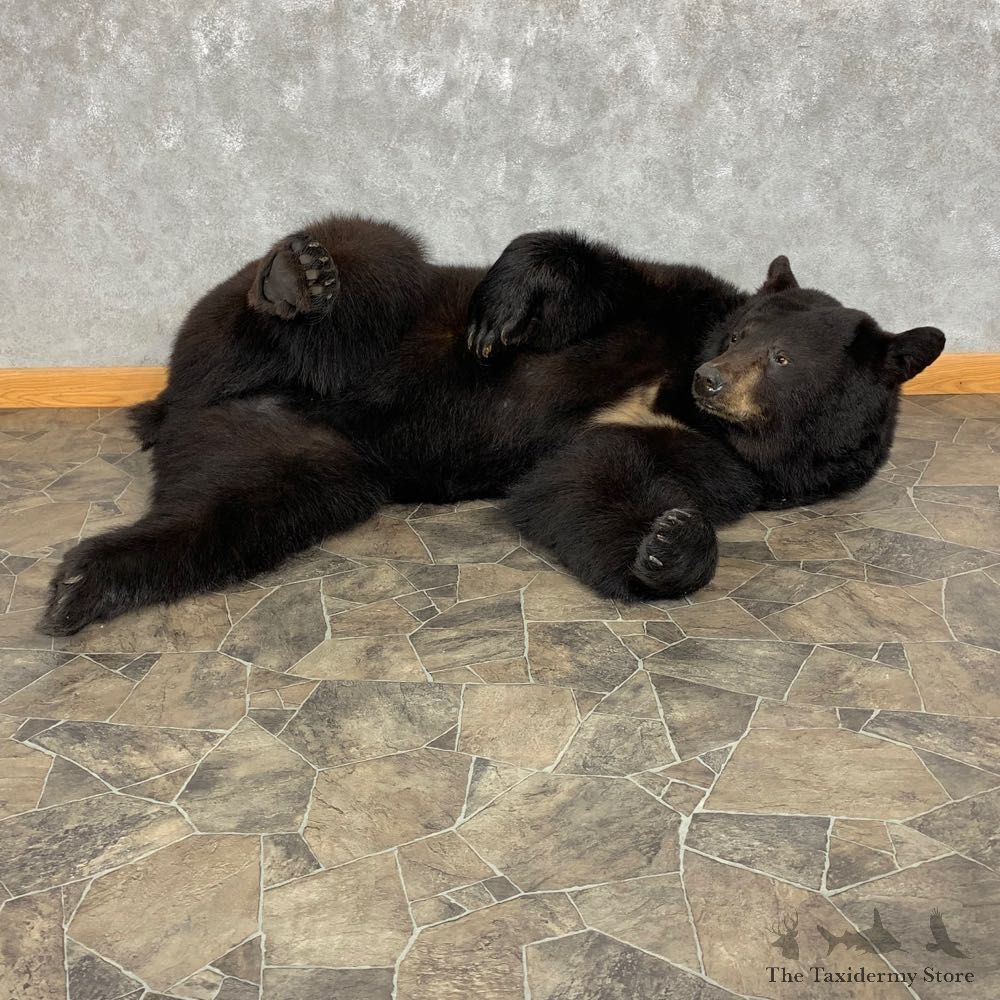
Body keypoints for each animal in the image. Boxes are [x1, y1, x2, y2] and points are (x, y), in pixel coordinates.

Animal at [39, 216, 944, 635]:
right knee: (367, 259)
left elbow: (590, 480)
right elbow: (599, 276)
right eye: (738, 334)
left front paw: (669, 545)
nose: (712, 378)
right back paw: (295, 280)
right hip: (310, 319)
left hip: (294, 455)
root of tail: (179, 401)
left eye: (784, 359)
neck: (677, 397)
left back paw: (92, 580)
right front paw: (506, 307)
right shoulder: (676, 305)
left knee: (234, 508)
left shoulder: (732, 464)